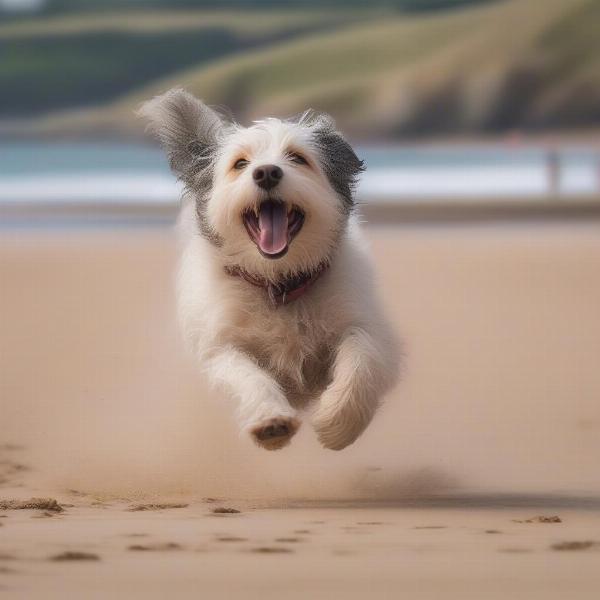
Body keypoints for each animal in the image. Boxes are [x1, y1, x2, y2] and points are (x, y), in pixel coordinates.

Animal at [141, 86, 400, 448]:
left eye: (297, 157)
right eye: (240, 163)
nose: (266, 172)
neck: (279, 284)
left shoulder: (363, 325)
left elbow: (361, 357)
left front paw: (338, 421)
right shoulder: (218, 347)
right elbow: (244, 374)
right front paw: (270, 420)